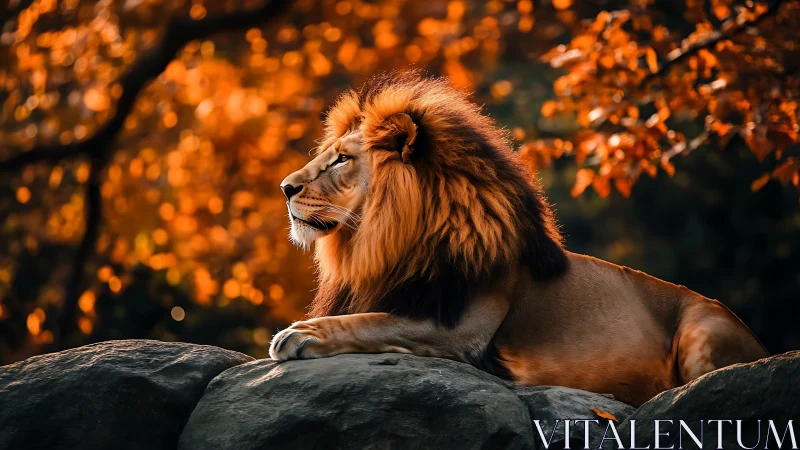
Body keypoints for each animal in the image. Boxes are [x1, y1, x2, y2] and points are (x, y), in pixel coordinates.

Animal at [269, 73, 768, 406]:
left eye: (341, 160)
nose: (285, 188)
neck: (380, 243)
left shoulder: (461, 329)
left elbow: (371, 322)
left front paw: (300, 334)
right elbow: (368, 316)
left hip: (702, 328)